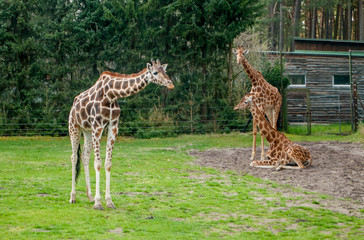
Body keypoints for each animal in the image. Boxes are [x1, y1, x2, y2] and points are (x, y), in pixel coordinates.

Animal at [69, 59, 175, 209]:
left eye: (164, 71)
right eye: (155, 72)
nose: (170, 84)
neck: (111, 94)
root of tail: (74, 103)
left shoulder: (113, 126)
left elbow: (108, 163)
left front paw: (108, 201)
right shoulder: (98, 126)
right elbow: (98, 163)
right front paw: (98, 203)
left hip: (87, 131)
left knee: (84, 156)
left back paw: (89, 196)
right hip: (74, 127)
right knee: (74, 157)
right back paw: (72, 197)